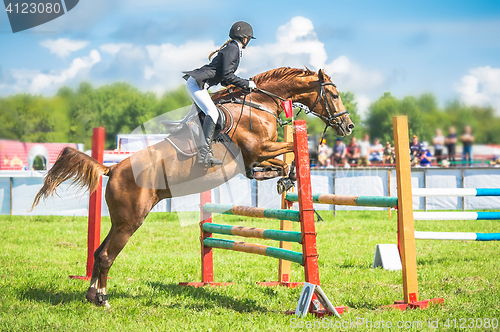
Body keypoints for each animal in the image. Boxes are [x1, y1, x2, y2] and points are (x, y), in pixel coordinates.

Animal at [31, 67, 354, 306]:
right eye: (334, 94)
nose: (348, 126)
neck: (258, 105)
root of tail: (112, 168)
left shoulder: (257, 157)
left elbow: (281, 164)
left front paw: (282, 178)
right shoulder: (258, 149)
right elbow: (297, 151)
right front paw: (288, 174)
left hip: (120, 220)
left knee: (99, 253)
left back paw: (91, 294)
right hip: (131, 220)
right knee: (107, 255)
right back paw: (102, 299)